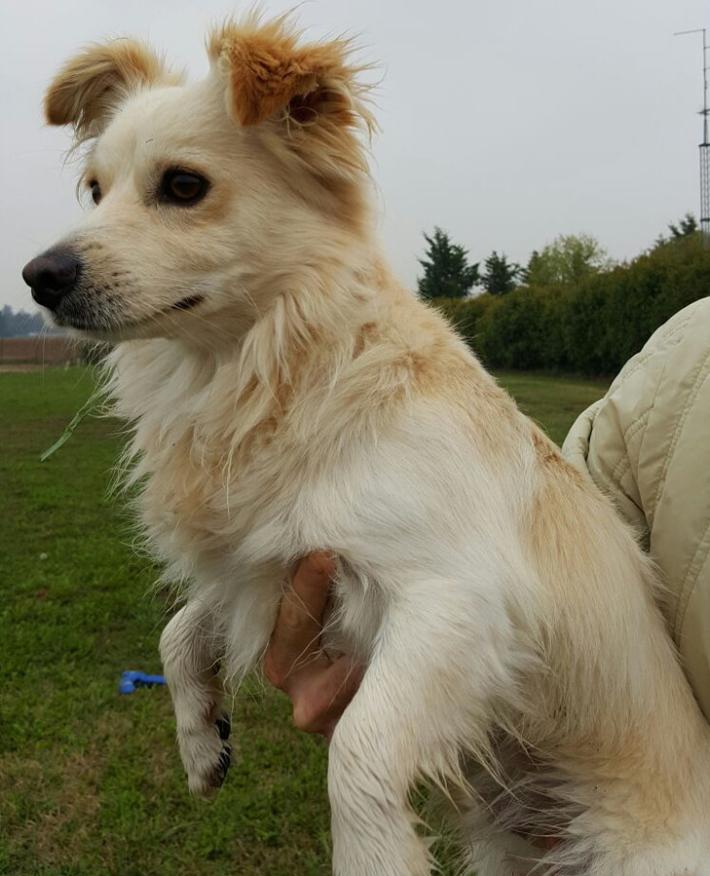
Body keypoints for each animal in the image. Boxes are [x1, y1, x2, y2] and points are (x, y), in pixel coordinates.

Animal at [23, 13, 710, 875]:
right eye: (94, 191)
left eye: (182, 186)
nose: (38, 275)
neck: (269, 373)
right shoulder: (266, 563)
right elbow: (179, 628)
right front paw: (200, 738)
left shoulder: (454, 601)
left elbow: (359, 748)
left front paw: (372, 851)